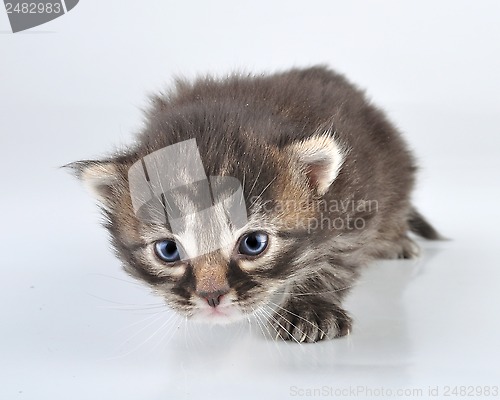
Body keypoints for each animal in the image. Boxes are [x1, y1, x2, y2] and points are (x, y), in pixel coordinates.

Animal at [68, 66, 440, 344]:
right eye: (168, 250)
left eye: (253, 243)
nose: (212, 297)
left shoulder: (356, 200)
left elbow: (335, 260)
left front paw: (310, 307)